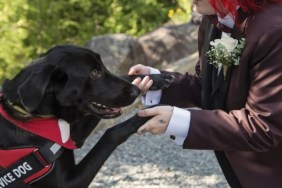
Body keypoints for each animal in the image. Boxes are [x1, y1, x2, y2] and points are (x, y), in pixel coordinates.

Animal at [0, 44, 174, 187]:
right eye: (94, 73)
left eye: (102, 67)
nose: (136, 91)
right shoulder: (68, 183)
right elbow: (111, 133)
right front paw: (158, 110)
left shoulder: (73, 136)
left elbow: (124, 76)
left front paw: (156, 78)